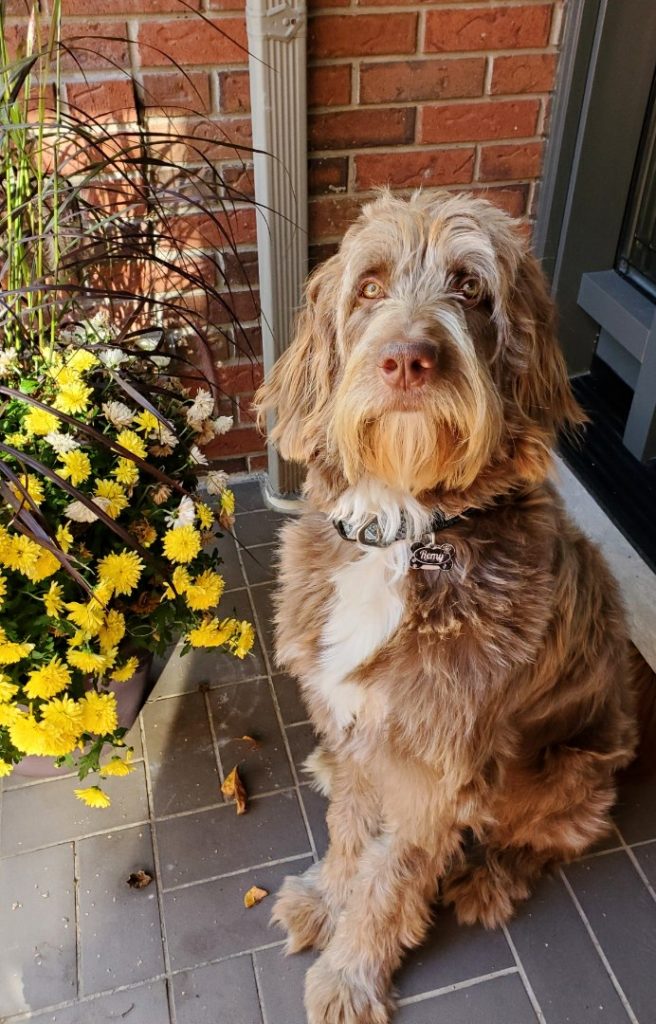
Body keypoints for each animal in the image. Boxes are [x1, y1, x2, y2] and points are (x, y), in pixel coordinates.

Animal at [253, 192, 646, 1024]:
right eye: (369, 287)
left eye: (470, 288)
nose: (408, 360)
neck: (406, 535)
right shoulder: (352, 719)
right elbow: (350, 832)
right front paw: (326, 899)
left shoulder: (435, 766)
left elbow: (390, 876)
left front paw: (351, 973)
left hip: (568, 771)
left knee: (539, 837)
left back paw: (489, 878)